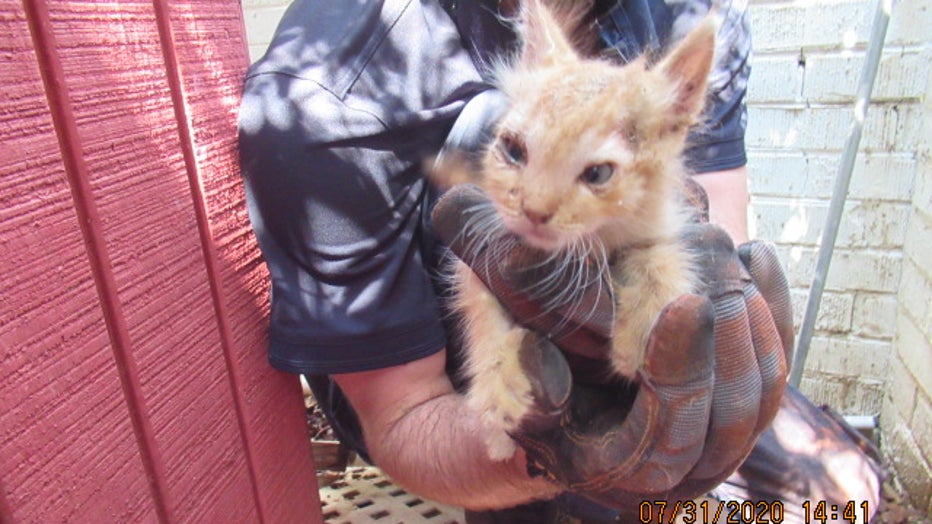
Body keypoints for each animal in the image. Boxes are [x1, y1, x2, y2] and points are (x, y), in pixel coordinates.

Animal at [440, 0, 716, 458]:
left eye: (599, 174)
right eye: (513, 150)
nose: (533, 210)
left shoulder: (660, 224)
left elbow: (659, 255)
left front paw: (646, 327)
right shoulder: (476, 265)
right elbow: (482, 313)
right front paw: (497, 390)